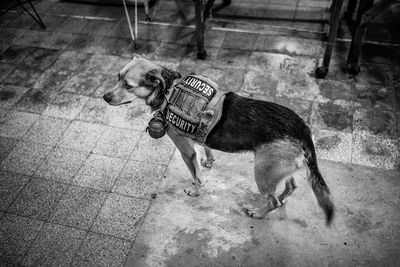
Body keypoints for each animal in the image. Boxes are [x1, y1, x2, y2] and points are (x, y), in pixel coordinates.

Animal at [102, 54, 334, 224]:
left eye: (128, 85)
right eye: (117, 77)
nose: (104, 97)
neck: (168, 89)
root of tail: (302, 128)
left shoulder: (186, 151)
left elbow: (196, 175)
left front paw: (195, 191)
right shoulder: (198, 138)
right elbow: (205, 146)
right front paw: (209, 160)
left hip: (262, 174)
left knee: (274, 201)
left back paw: (258, 213)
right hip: (276, 170)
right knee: (291, 186)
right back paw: (282, 198)